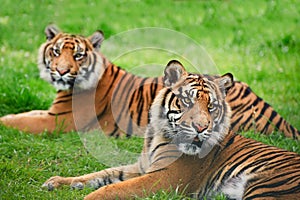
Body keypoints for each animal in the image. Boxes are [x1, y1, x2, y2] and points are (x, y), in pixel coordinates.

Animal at [1, 25, 298, 140]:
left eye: (78, 55)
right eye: (55, 52)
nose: (61, 71)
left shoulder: (59, 121)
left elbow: (20, 121)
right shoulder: (49, 113)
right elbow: (24, 113)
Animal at [41, 60, 300, 199]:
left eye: (211, 106)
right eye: (187, 101)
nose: (200, 127)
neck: (156, 135)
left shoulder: (163, 177)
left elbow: (113, 188)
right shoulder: (140, 168)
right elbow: (101, 175)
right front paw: (57, 182)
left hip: (267, 186)